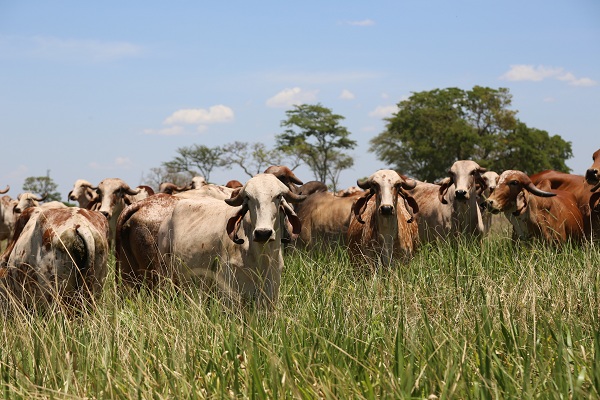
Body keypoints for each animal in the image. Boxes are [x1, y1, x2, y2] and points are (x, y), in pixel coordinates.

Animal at [157, 173, 308, 308]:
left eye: (278, 196)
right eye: (248, 197)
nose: (263, 233)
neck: (261, 256)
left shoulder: (271, 293)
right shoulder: (230, 294)